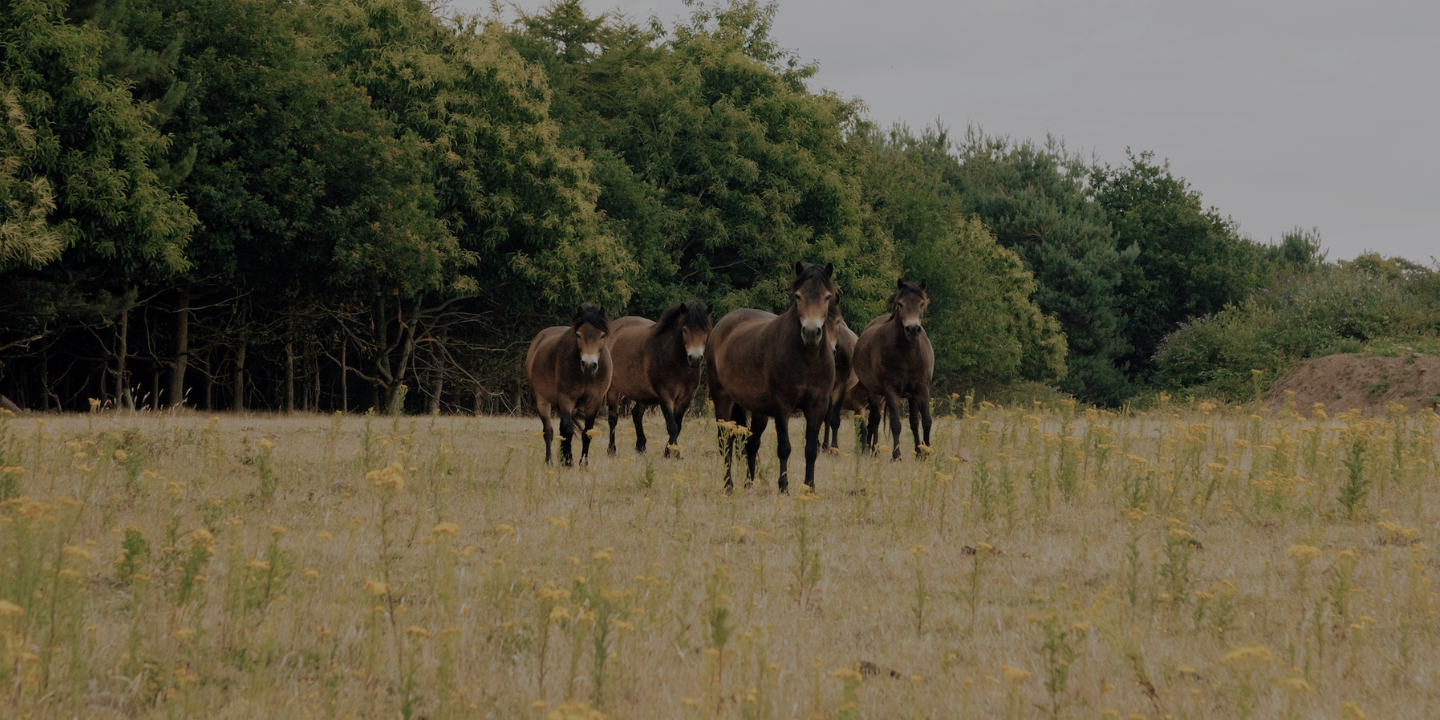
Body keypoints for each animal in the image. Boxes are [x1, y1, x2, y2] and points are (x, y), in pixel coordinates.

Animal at [524, 303, 613, 466]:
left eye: (602, 335)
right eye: (578, 335)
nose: (589, 364)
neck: (585, 375)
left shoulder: (595, 401)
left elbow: (587, 433)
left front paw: (583, 464)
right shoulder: (566, 398)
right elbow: (567, 430)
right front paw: (568, 462)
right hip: (542, 400)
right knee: (549, 431)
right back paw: (549, 461)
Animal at [604, 300, 711, 457]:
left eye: (706, 330)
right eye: (685, 330)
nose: (695, 358)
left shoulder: (685, 397)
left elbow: (678, 425)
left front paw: (670, 451)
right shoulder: (665, 396)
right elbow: (672, 426)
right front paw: (673, 454)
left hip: (641, 393)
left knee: (636, 414)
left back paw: (641, 446)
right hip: (613, 389)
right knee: (613, 418)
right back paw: (611, 450)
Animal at [705, 262, 840, 492]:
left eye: (827, 297)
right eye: (798, 296)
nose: (811, 332)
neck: (807, 359)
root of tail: (722, 324)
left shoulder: (818, 407)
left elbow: (811, 449)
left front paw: (809, 488)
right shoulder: (782, 408)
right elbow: (784, 447)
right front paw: (784, 487)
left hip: (758, 411)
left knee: (751, 444)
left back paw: (749, 484)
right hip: (723, 399)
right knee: (726, 442)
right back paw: (728, 485)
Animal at [852, 277, 933, 457]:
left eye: (921, 303)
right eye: (901, 304)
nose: (912, 329)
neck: (908, 355)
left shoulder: (922, 389)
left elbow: (925, 422)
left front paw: (925, 453)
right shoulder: (891, 392)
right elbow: (896, 425)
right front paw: (896, 456)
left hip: (910, 396)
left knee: (913, 422)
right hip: (874, 393)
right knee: (874, 420)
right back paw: (871, 450)